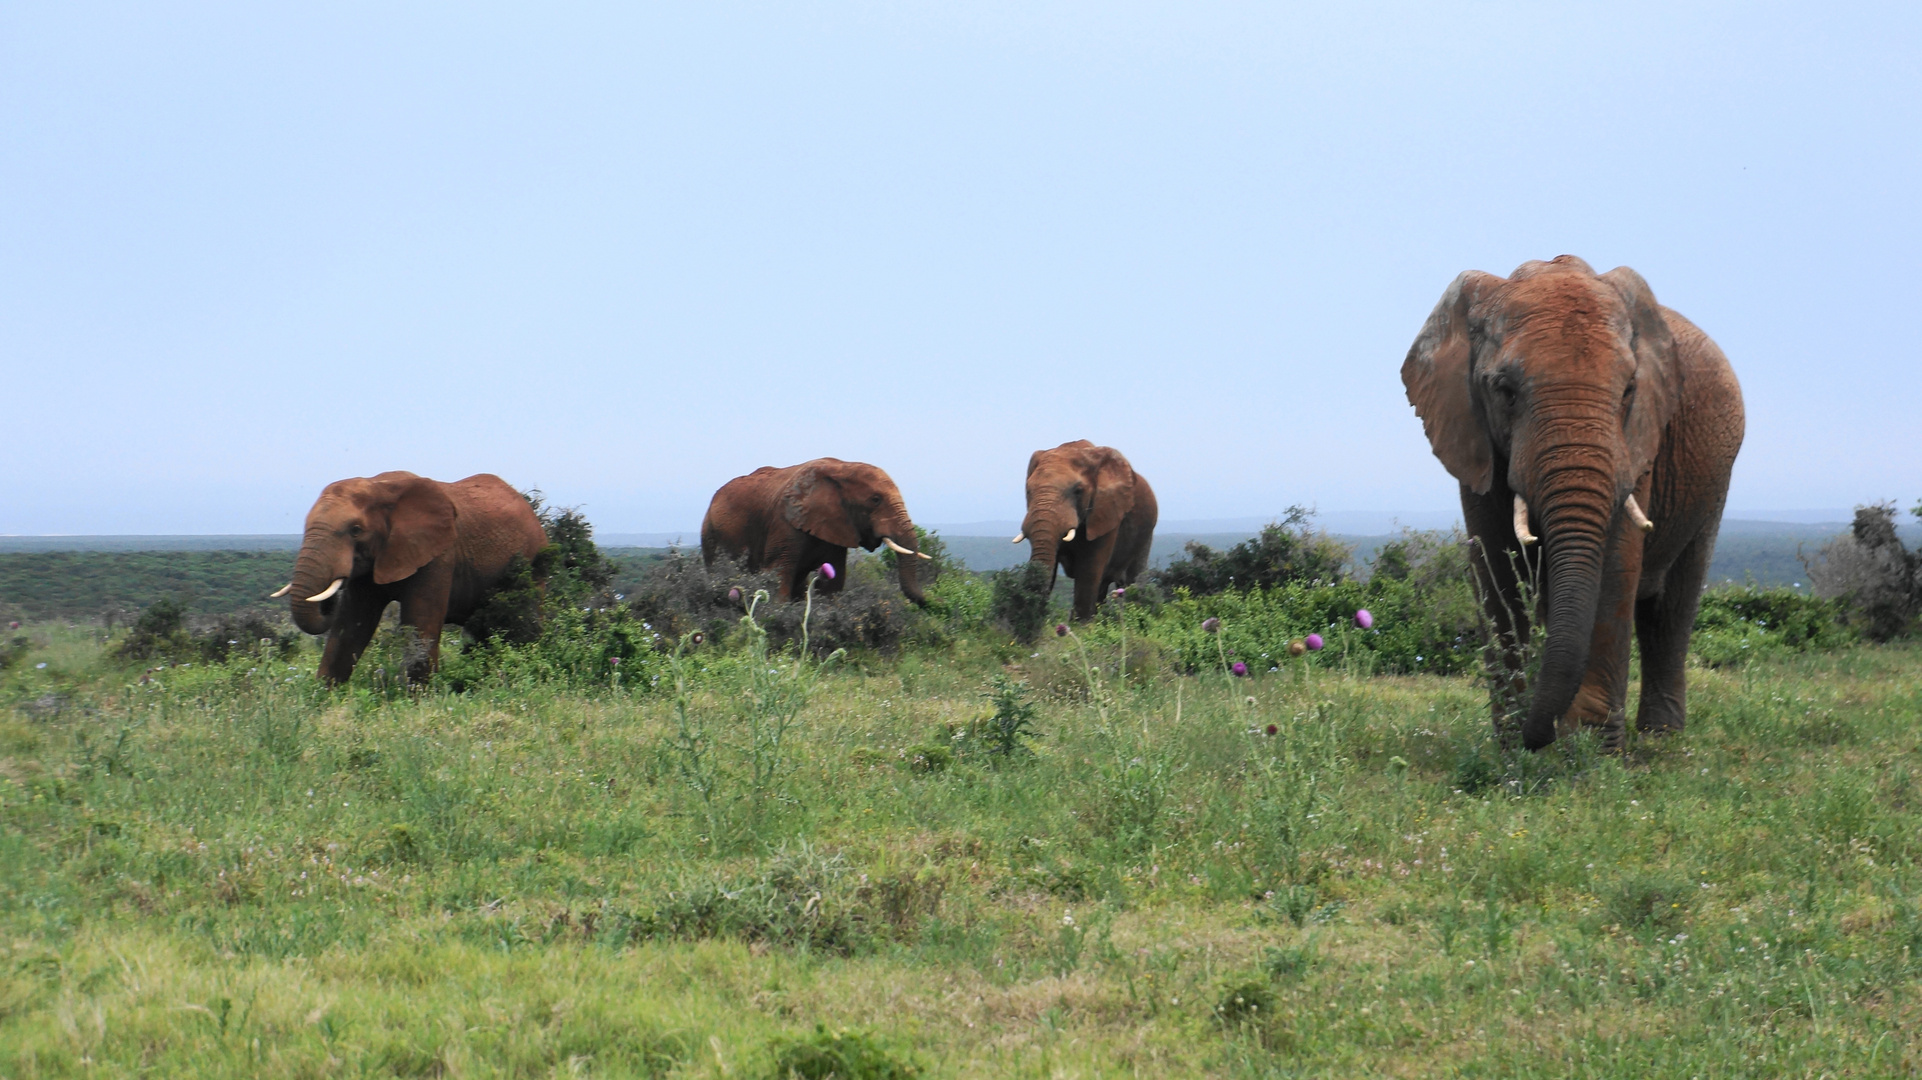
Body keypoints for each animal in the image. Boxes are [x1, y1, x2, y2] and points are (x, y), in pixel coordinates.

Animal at [271, 468, 545, 680]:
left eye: (356, 530)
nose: (327, 601)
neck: (379, 486)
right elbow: (351, 626)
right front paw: (322, 699)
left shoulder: (438, 555)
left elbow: (419, 625)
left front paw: (419, 702)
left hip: (535, 560)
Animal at [699, 455, 930, 599]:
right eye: (875, 500)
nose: (929, 602)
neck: (843, 468)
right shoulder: (785, 523)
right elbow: (778, 575)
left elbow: (832, 584)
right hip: (709, 532)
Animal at [1022, 438, 1153, 618]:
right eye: (1028, 491)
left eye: (1078, 491)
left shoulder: (1106, 513)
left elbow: (1088, 572)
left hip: (1145, 536)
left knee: (1133, 580)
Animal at [1399, 257, 1745, 749]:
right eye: (1505, 391)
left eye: (1629, 390)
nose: (1535, 734)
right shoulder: (1470, 431)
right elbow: (1495, 572)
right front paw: (1513, 747)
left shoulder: (1637, 443)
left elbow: (1615, 567)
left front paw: (1596, 751)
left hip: (1713, 483)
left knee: (1671, 608)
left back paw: (1660, 743)